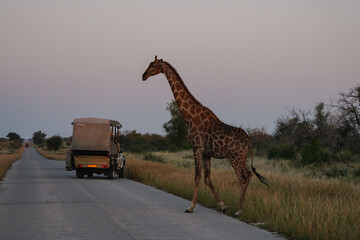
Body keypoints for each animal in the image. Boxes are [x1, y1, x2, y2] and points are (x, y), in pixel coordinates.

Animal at [142, 55, 268, 216]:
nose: (143, 75)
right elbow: (207, 179)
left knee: (243, 177)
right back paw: (239, 208)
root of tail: (249, 142)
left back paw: (239, 210)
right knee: (247, 175)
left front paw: (190, 207)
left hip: (235, 157)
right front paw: (223, 206)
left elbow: (197, 176)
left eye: (153, 65)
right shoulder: (207, 153)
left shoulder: (196, 147)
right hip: (241, 157)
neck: (190, 116)